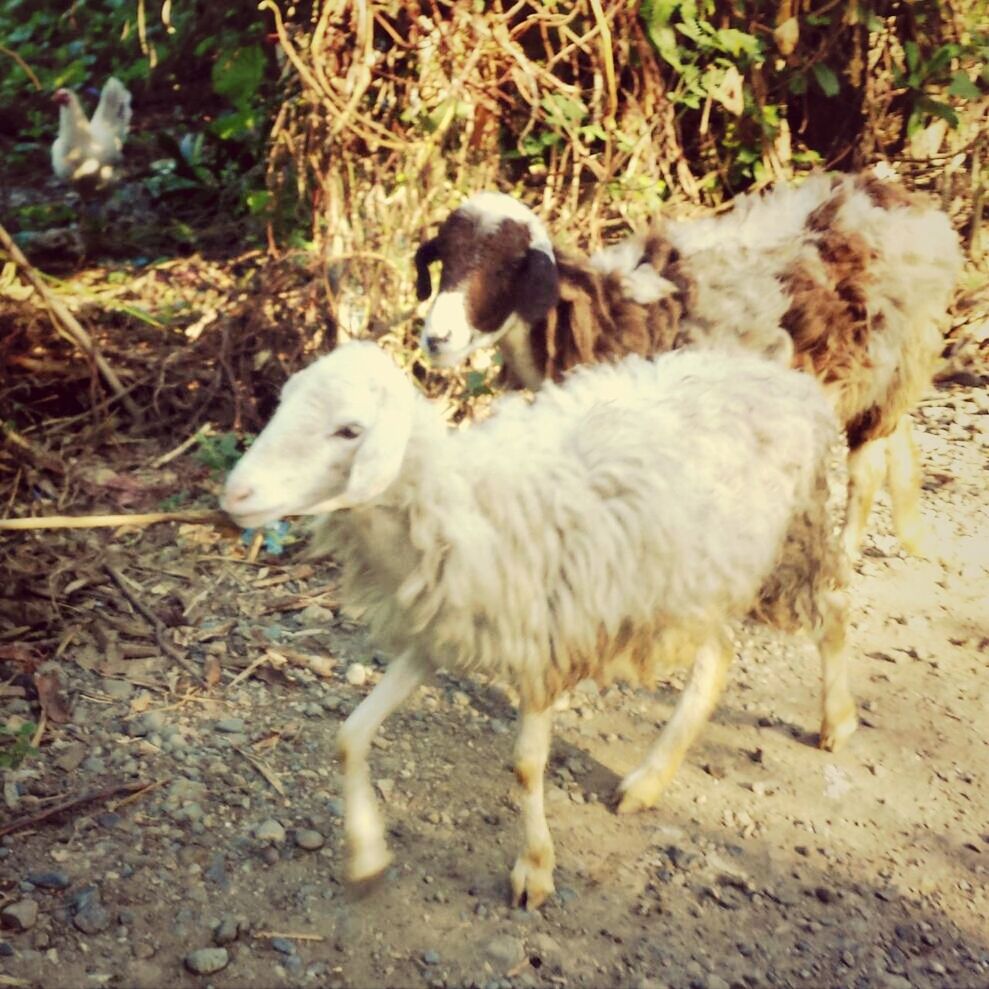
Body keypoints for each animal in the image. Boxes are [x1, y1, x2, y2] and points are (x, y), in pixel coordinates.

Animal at [220, 342, 852, 912]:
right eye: (284, 402)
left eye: (349, 431)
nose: (235, 493)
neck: (455, 505)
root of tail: (781, 375)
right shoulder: (440, 634)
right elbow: (349, 736)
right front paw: (366, 855)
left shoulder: (543, 645)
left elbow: (525, 767)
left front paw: (535, 869)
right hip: (694, 579)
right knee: (719, 655)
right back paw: (650, 779)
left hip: (791, 543)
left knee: (834, 613)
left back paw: (836, 724)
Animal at [412, 171, 960, 560]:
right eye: (444, 260)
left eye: (509, 268)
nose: (436, 338)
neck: (607, 312)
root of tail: (904, 201)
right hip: (888, 373)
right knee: (899, 448)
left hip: (886, 366)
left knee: (868, 468)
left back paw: (847, 554)